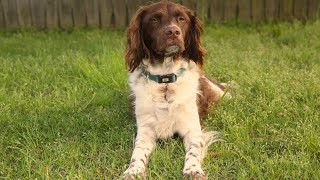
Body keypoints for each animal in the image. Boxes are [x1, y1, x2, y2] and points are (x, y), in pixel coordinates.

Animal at [122, 0, 230, 179]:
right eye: (154, 20)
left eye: (181, 19)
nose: (173, 31)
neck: (165, 80)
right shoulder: (145, 130)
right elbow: (137, 152)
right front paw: (134, 171)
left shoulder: (192, 129)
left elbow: (193, 151)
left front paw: (193, 170)